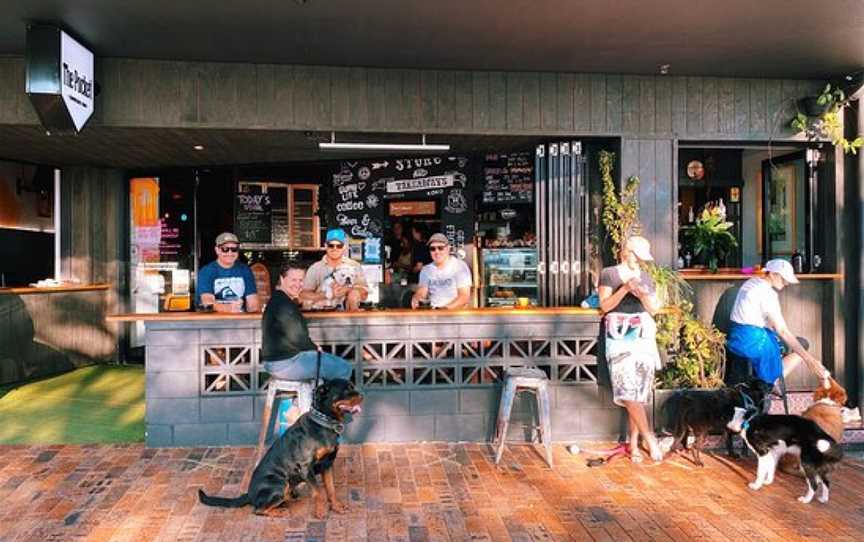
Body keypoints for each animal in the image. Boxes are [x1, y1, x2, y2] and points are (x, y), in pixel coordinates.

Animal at [198, 380, 362, 520]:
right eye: (346, 390)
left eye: (352, 386)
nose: (362, 396)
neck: (323, 423)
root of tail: (249, 495)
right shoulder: (306, 467)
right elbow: (318, 492)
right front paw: (321, 512)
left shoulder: (327, 465)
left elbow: (331, 490)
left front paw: (337, 507)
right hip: (280, 484)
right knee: (258, 509)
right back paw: (281, 511)